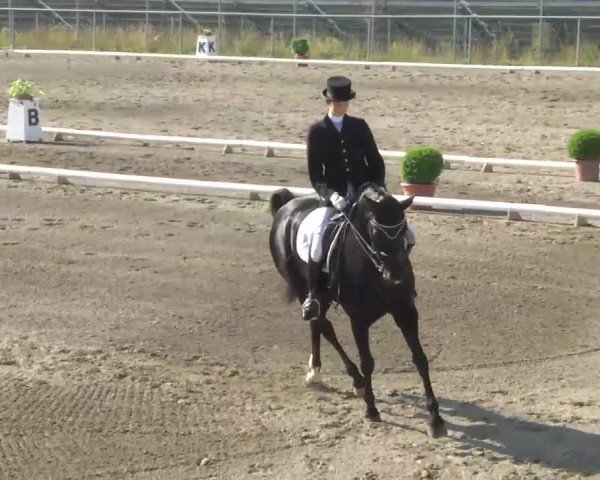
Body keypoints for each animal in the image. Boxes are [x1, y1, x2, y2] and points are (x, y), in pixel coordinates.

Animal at [268, 182, 446, 436]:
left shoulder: (406, 312)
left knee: (317, 324)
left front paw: (435, 419)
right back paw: (354, 381)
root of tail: (287, 205)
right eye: (374, 230)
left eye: (403, 230)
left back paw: (316, 370)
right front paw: (371, 410)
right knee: (323, 325)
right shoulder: (358, 319)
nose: (396, 278)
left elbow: (420, 359)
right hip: (302, 287)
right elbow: (367, 362)